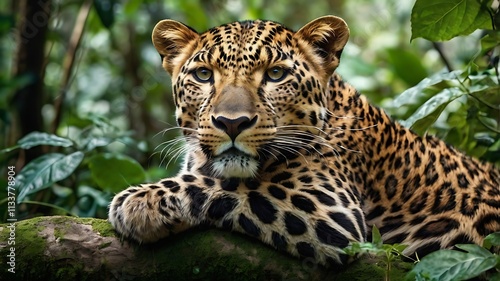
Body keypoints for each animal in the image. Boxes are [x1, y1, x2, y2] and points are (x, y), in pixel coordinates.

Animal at [109, 15, 500, 264]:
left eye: (275, 75)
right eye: (204, 75)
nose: (232, 123)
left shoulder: (331, 209)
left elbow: (231, 184)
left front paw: (139, 200)